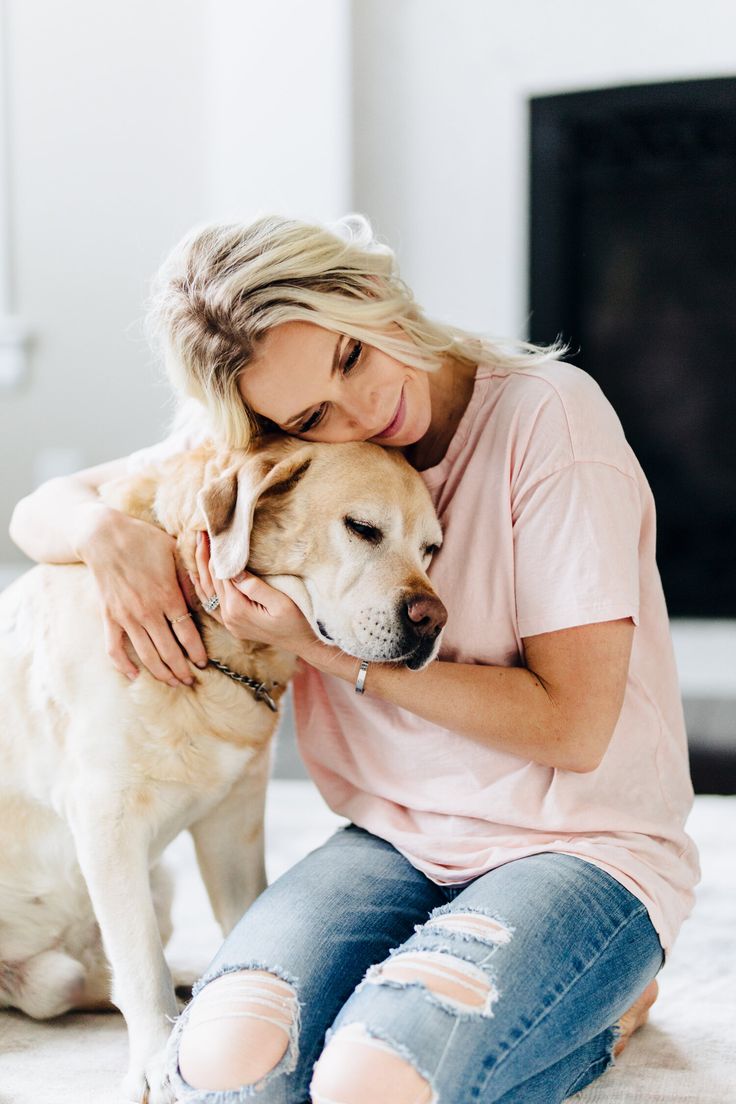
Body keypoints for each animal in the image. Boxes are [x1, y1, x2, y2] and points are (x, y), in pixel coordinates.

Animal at [0, 434, 443, 1099]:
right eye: (363, 528)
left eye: (431, 550)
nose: (433, 620)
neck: (218, 647)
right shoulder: (106, 821)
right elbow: (139, 964)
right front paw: (154, 1064)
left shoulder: (235, 821)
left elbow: (238, 920)